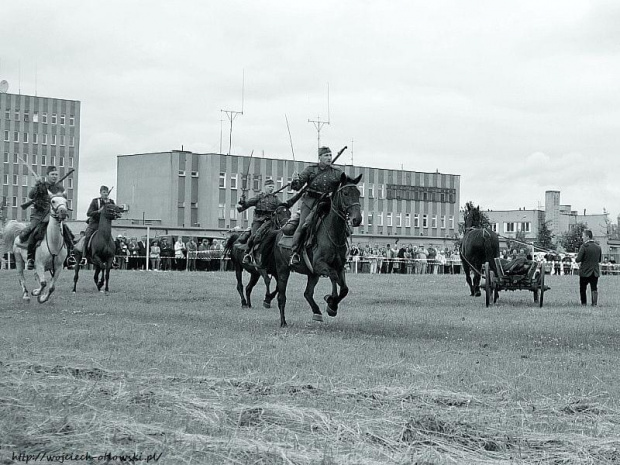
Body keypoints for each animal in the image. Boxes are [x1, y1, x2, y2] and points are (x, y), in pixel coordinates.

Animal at [272, 173, 364, 326]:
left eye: (358, 193)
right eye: (345, 193)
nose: (357, 219)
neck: (332, 233)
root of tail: (279, 232)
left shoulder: (339, 267)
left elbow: (344, 289)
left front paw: (332, 305)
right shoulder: (320, 265)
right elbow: (334, 277)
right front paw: (331, 301)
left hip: (312, 274)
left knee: (307, 293)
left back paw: (317, 313)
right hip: (283, 270)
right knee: (281, 296)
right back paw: (283, 322)